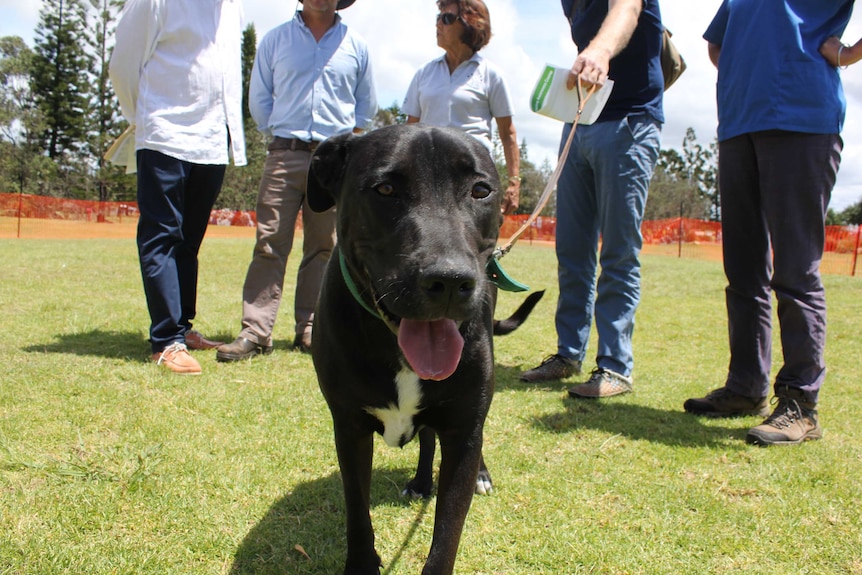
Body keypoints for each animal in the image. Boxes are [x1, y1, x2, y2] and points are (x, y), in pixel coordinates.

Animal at [308, 125, 540, 575]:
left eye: (481, 190)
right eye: (385, 189)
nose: (449, 280)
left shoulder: (463, 430)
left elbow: (448, 531)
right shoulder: (349, 427)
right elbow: (357, 512)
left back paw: (479, 474)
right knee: (428, 439)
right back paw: (419, 482)